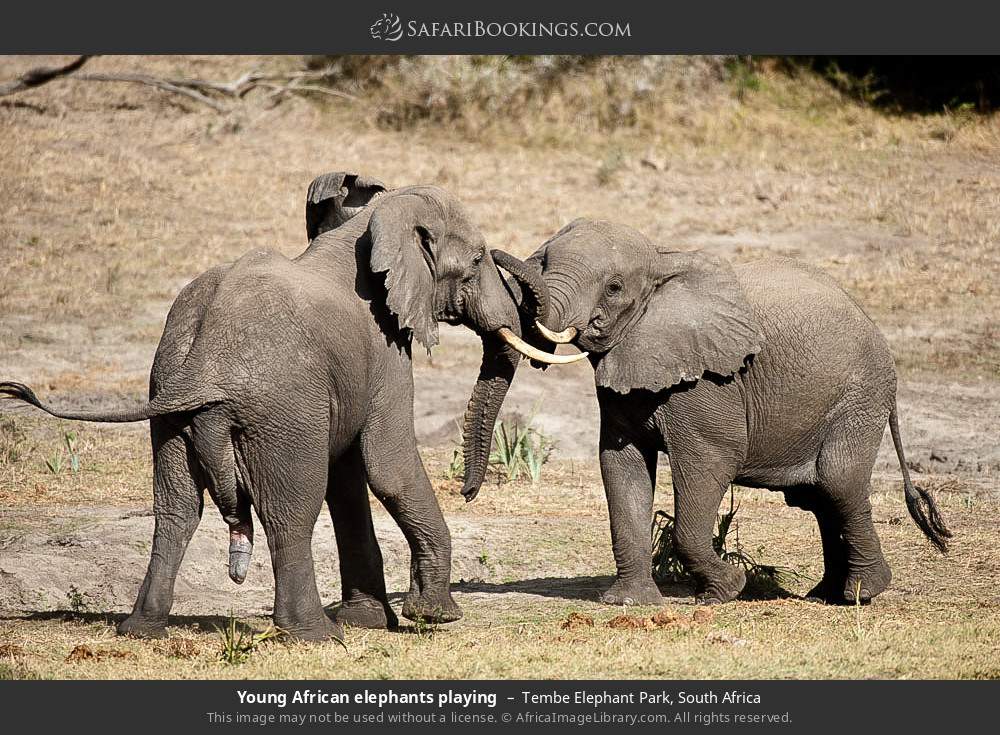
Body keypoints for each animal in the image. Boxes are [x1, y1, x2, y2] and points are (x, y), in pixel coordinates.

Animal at [0, 171, 526, 640]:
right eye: (479, 258)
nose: (467, 493)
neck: (367, 224)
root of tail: (205, 361)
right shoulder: (386, 349)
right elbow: (386, 466)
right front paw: (434, 617)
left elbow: (348, 480)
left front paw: (373, 622)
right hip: (279, 408)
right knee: (290, 511)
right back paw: (315, 635)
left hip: (173, 401)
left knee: (175, 512)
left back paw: (142, 630)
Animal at [472, 218, 951, 606]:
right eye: (544, 260)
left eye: (614, 288)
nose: (492, 254)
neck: (662, 260)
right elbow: (622, 467)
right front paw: (628, 603)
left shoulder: (707, 383)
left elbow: (709, 462)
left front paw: (725, 591)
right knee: (816, 497)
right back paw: (826, 594)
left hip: (860, 395)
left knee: (839, 482)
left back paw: (861, 593)